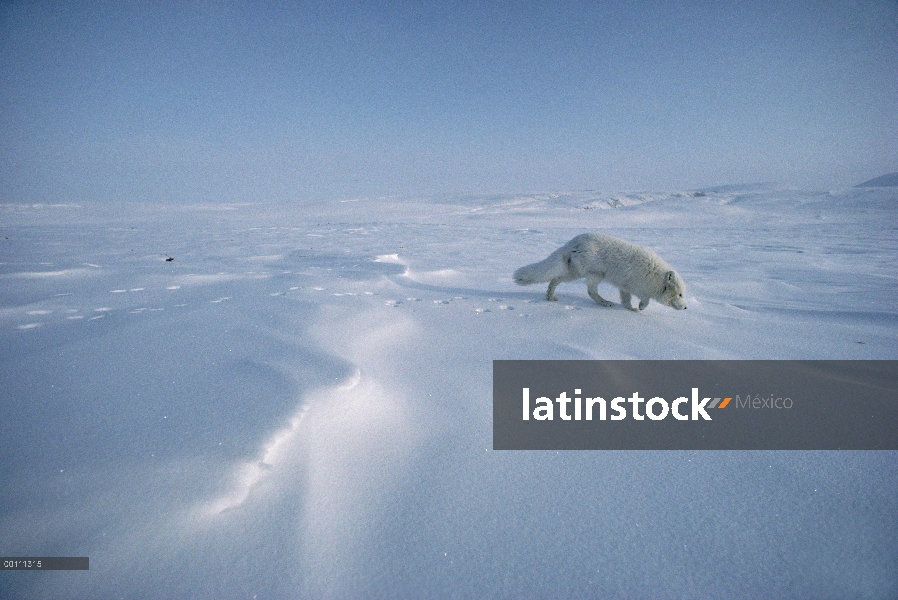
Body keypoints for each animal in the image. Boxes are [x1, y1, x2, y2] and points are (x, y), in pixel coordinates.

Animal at [512, 233, 688, 312]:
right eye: (680, 294)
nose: (686, 308)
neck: (655, 275)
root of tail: (572, 242)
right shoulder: (635, 285)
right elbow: (644, 299)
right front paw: (639, 307)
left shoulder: (625, 285)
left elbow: (626, 299)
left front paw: (630, 308)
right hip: (592, 274)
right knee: (590, 291)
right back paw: (604, 302)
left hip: (573, 273)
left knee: (554, 280)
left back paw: (550, 297)